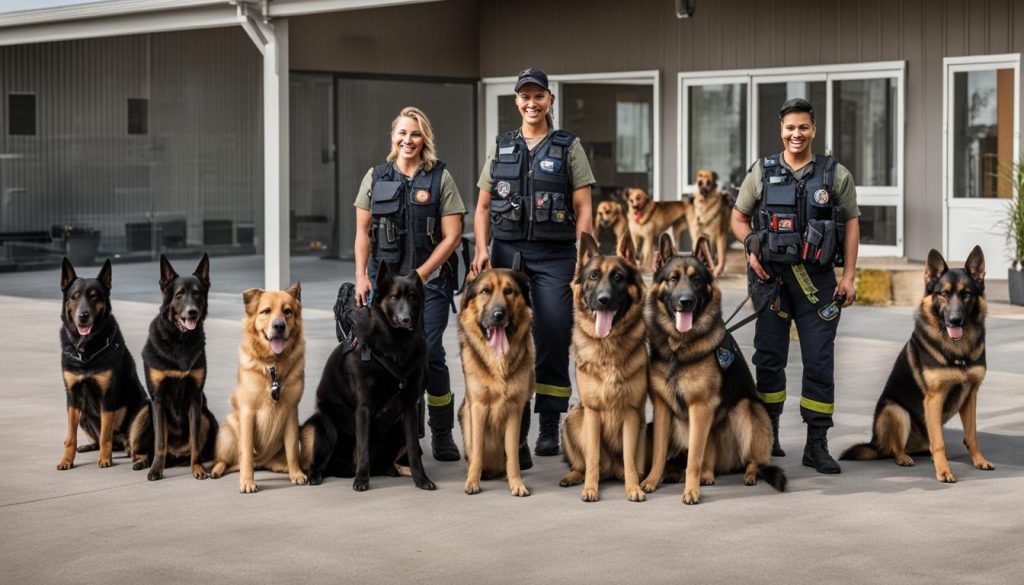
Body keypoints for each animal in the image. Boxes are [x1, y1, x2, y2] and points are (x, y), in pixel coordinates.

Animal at [207, 284, 303, 493]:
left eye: (287, 311)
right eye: (265, 311)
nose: (279, 326)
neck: (273, 366)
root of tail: (263, 463)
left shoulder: (291, 411)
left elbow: (293, 449)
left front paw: (297, 473)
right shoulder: (248, 412)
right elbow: (246, 454)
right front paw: (247, 481)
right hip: (228, 433)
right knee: (223, 460)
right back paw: (217, 470)